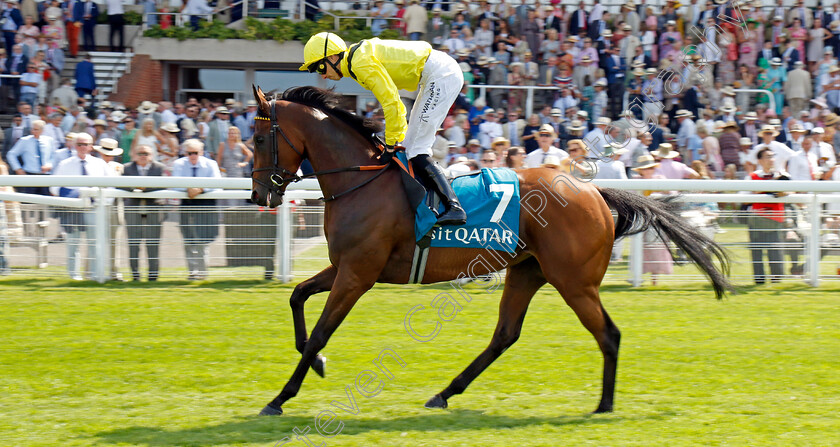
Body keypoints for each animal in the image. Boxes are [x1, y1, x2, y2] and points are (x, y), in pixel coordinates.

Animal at [248, 86, 728, 416]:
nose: (258, 194)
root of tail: (593, 191)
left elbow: (321, 332)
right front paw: (318, 363)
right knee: (505, 335)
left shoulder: (357, 274)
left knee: (607, 334)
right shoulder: (346, 266)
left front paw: (280, 396)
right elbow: (297, 298)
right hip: (527, 271)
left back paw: (604, 405)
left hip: (573, 281)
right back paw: (444, 393)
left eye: (257, 138)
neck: (361, 180)